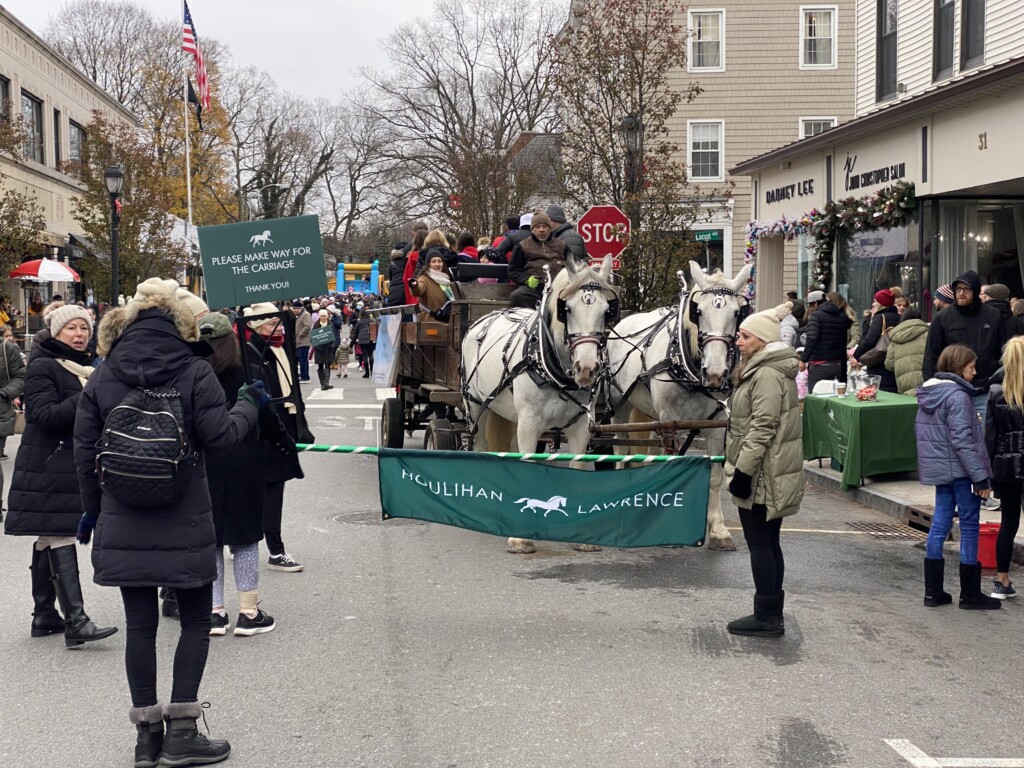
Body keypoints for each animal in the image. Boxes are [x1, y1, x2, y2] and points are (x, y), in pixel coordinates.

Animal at [462, 257, 614, 552]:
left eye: (606, 311)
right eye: (566, 309)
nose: (587, 369)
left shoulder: (580, 425)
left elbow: (577, 467)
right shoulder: (530, 423)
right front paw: (520, 537)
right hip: (476, 406)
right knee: (480, 445)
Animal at [606, 262, 753, 548]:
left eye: (737, 313)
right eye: (699, 312)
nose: (715, 372)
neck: (689, 370)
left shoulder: (717, 424)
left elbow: (715, 475)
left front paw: (718, 530)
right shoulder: (668, 420)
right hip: (620, 406)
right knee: (621, 446)